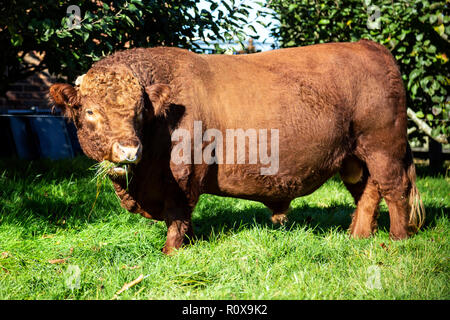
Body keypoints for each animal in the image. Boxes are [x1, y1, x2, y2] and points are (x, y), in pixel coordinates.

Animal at [50, 39, 426, 252]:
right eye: (90, 111)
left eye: (140, 111)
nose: (128, 150)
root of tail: (370, 46)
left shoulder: (186, 175)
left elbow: (178, 215)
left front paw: (173, 251)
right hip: (353, 157)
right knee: (367, 193)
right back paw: (357, 237)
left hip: (383, 147)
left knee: (394, 189)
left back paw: (398, 239)